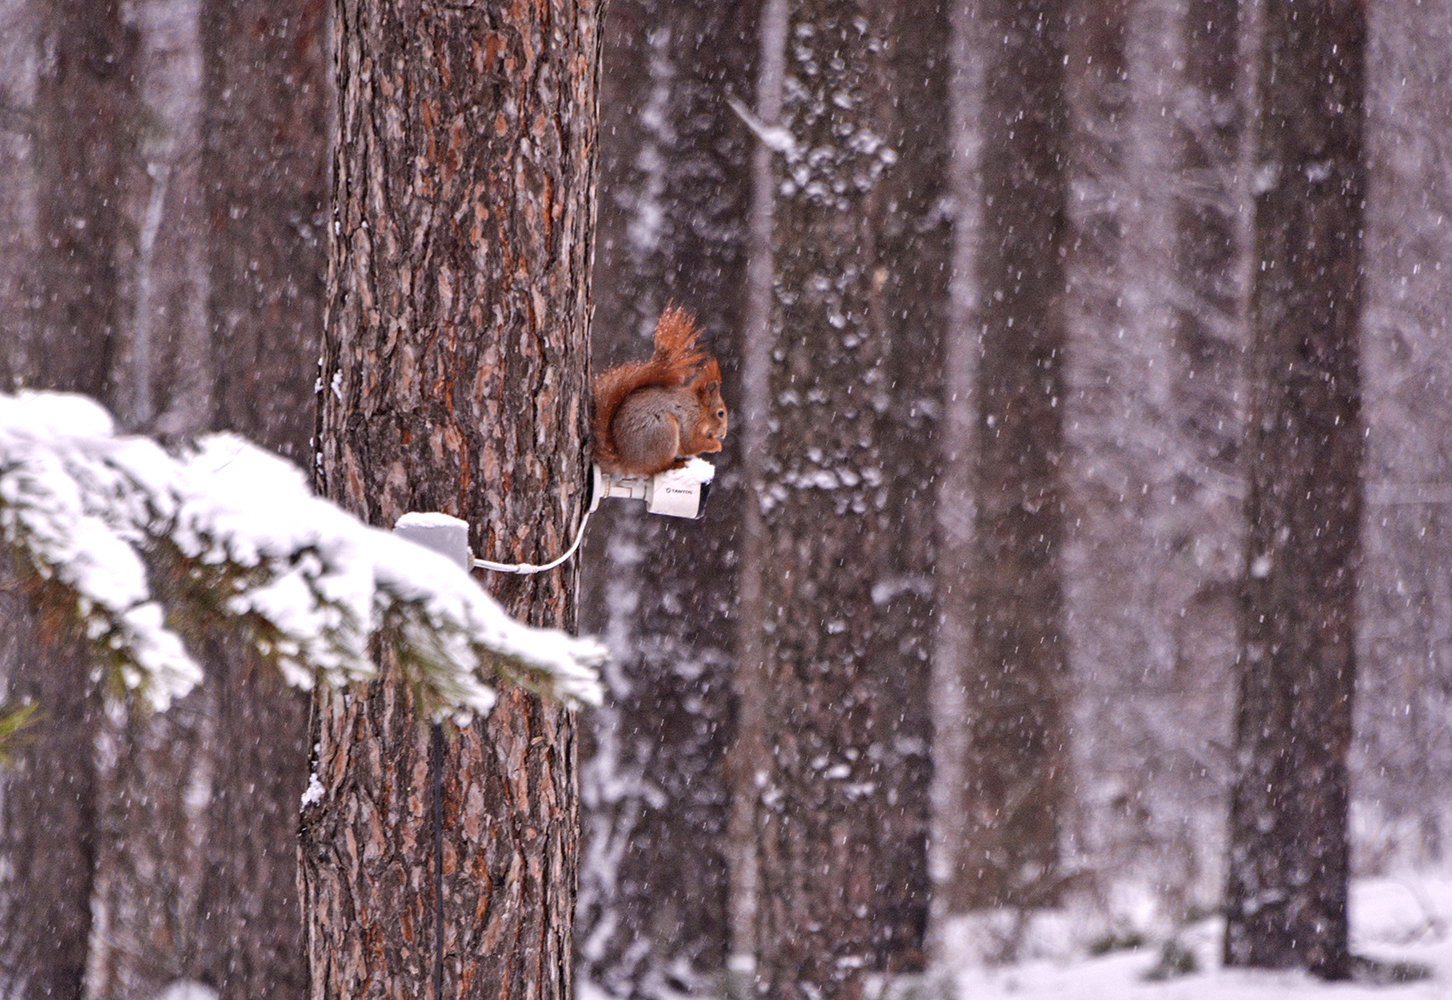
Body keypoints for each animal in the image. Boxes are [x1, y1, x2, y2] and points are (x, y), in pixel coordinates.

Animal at [589, 304, 726, 476]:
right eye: (721, 413)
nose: (724, 435)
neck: (699, 407)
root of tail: (627, 461)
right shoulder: (690, 420)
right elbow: (691, 443)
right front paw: (715, 445)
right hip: (663, 430)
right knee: (657, 467)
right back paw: (676, 464)